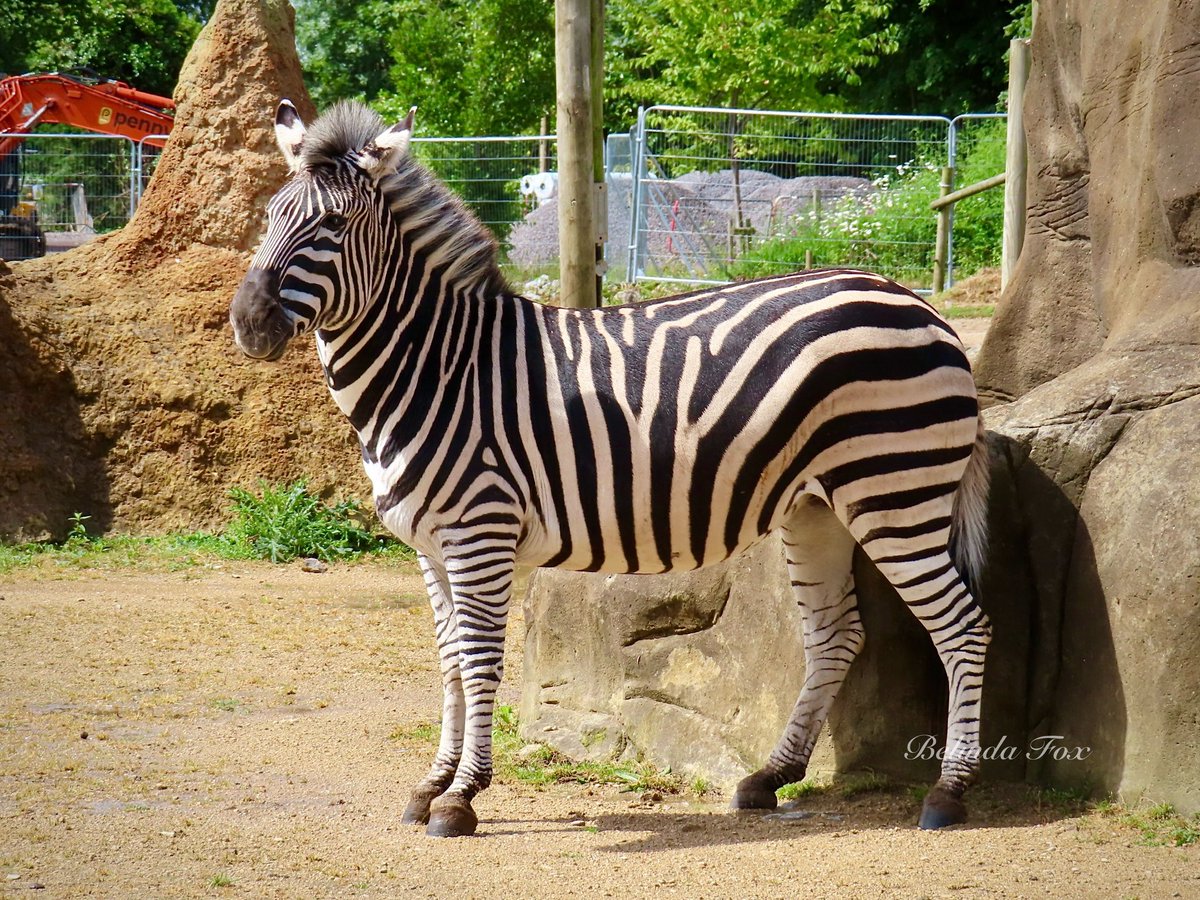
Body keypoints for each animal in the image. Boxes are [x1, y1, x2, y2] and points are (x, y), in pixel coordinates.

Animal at [229, 100, 992, 839]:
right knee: (836, 636)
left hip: (895, 493)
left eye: (333, 223)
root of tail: (915, 300)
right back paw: (769, 777)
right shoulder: (430, 546)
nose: (247, 322)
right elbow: (448, 665)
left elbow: (479, 662)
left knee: (963, 626)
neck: (439, 369)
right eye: (268, 218)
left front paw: (462, 798)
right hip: (817, 507)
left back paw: (949, 794)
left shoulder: (480, 533)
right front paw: (431, 784)